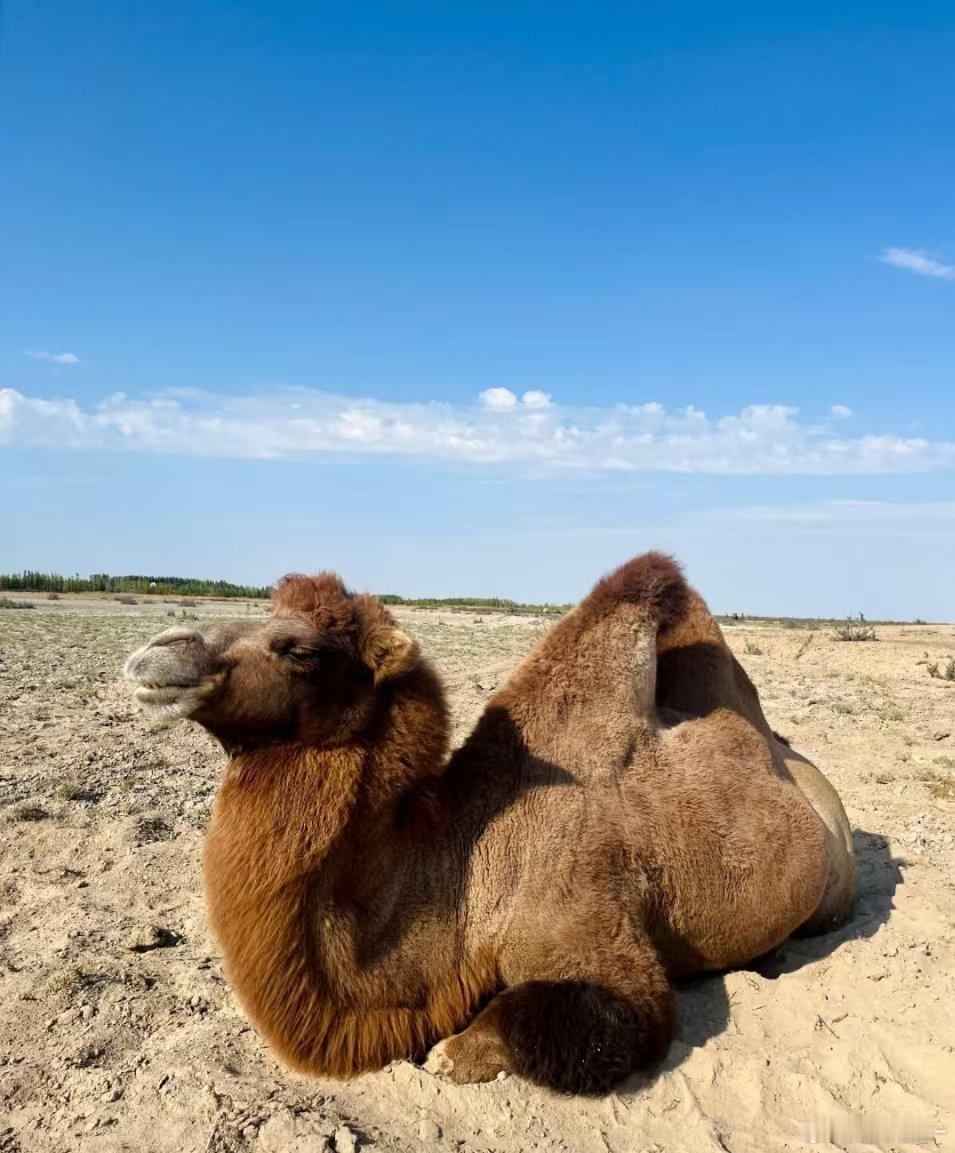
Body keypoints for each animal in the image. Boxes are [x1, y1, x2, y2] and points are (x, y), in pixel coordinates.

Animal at [121, 553, 858, 1093]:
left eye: (300, 649)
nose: (155, 653)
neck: (465, 869)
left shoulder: (585, 916)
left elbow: (578, 1021)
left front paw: (453, 1052)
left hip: (835, 888)